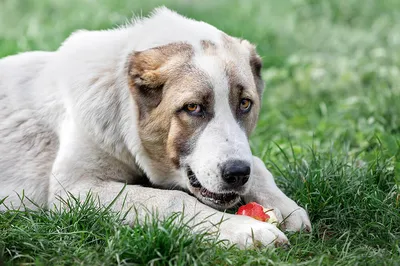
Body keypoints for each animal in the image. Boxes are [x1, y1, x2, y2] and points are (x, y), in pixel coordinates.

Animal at [0, 7, 310, 249]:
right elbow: (172, 199)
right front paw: (245, 229)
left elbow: (257, 164)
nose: (236, 174)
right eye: (193, 108)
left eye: (245, 104)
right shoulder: (76, 188)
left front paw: (285, 205)